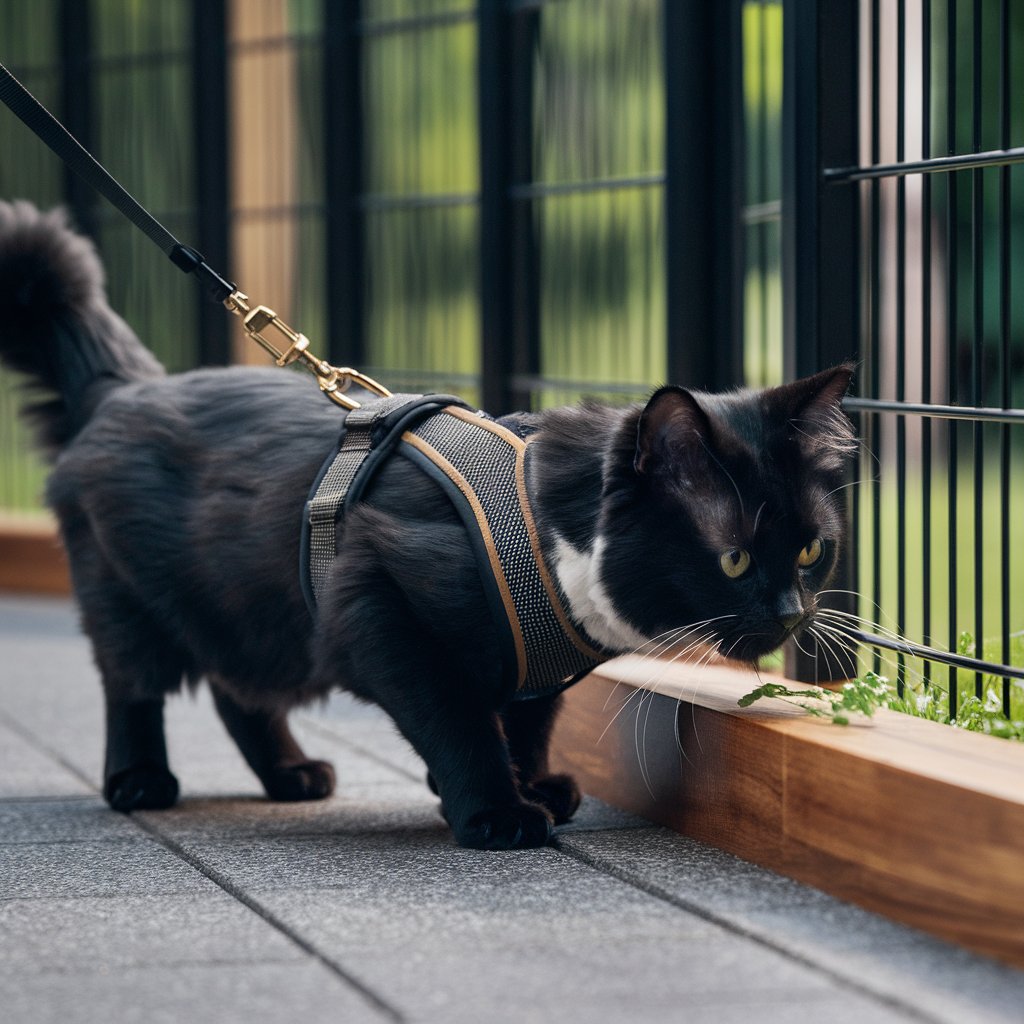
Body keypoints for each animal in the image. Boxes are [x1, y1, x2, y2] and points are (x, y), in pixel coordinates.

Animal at [0, 199, 856, 847]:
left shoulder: (531, 664)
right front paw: (496, 812)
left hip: (252, 613)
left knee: (237, 693)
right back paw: (140, 780)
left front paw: (528, 788)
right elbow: (458, 723)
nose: (792, 613)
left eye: (811, 550)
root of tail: (121, 384)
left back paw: (291, 775)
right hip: (131, 598)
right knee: (134, 687)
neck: (548, 537)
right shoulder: (382, 610)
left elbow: (527, 722)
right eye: (734, 559)